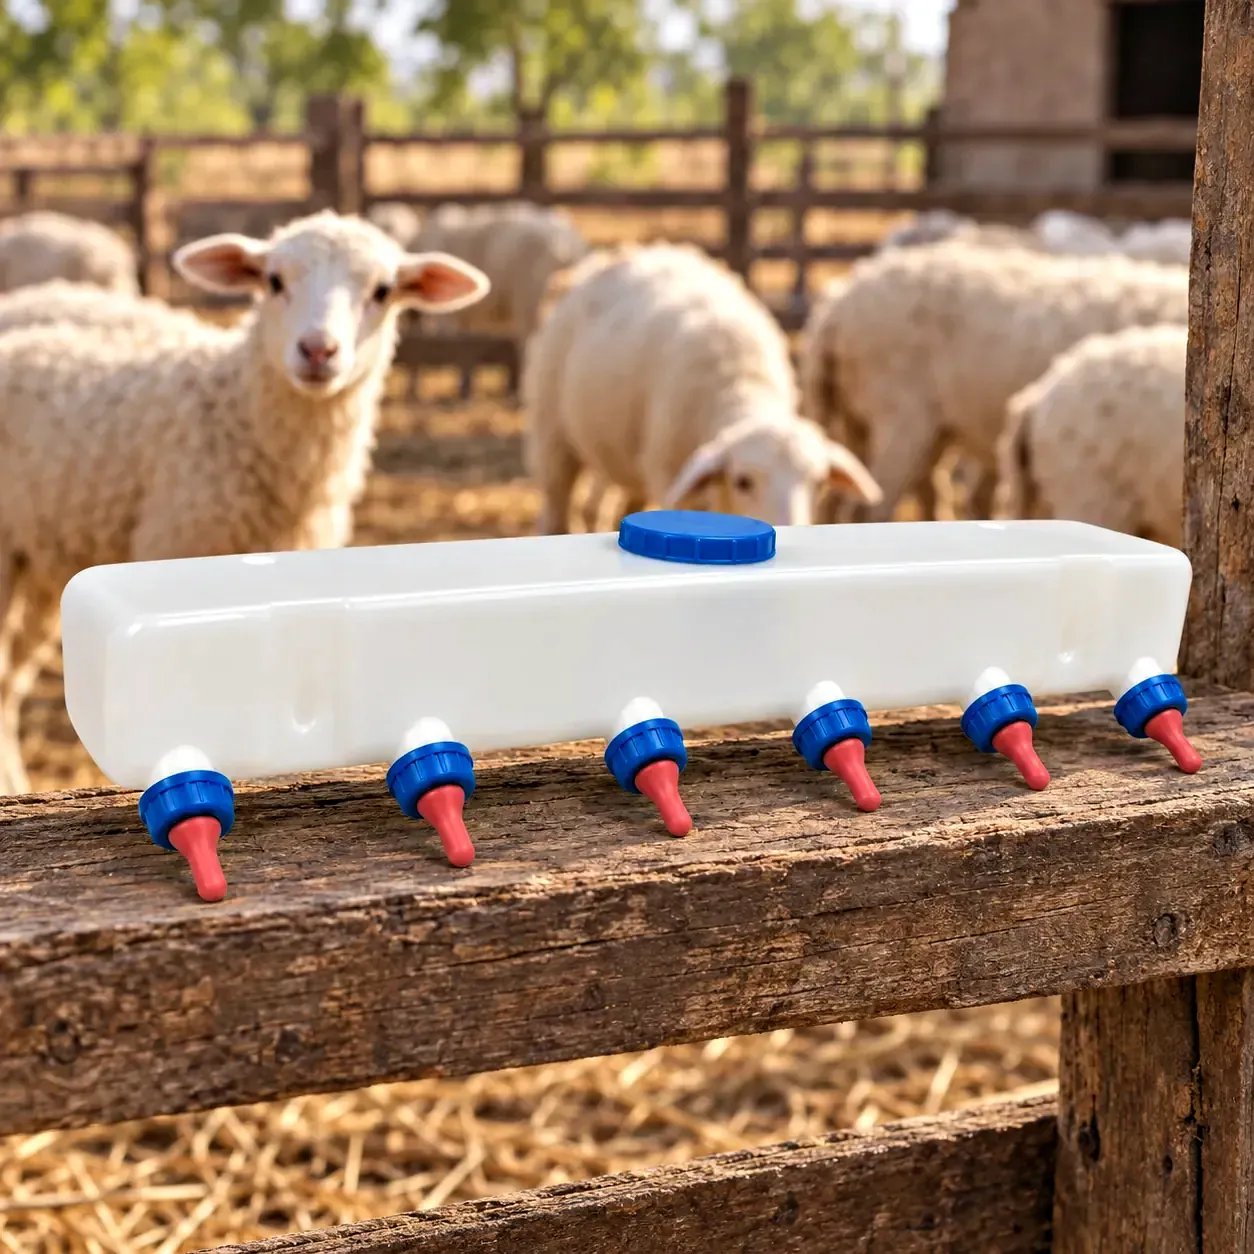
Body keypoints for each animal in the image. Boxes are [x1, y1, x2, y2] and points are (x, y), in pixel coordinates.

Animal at [522, 241, 881, 535]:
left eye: (818, 482)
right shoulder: (671, 477)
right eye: (743, 482)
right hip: (552, 433)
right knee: (555, 508)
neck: (741, 382)